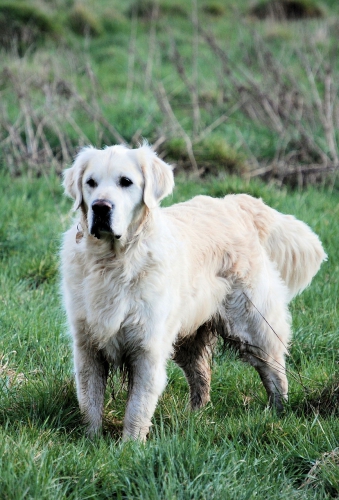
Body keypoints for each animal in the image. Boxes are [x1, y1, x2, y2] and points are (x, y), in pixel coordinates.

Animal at [61, 143, 326, 440]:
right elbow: (90, 401)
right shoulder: (87, 345)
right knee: (201, 376)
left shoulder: (147, 347)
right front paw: (91, 440)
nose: (101, 207)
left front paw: (130, 445)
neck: (114, 262)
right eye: (91, 183)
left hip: (254, 325)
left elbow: (137, 408)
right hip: (190, 336)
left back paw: (278, 413)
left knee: (275, 371)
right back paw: (195, 416)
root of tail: (235, 204)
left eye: (125, 181)